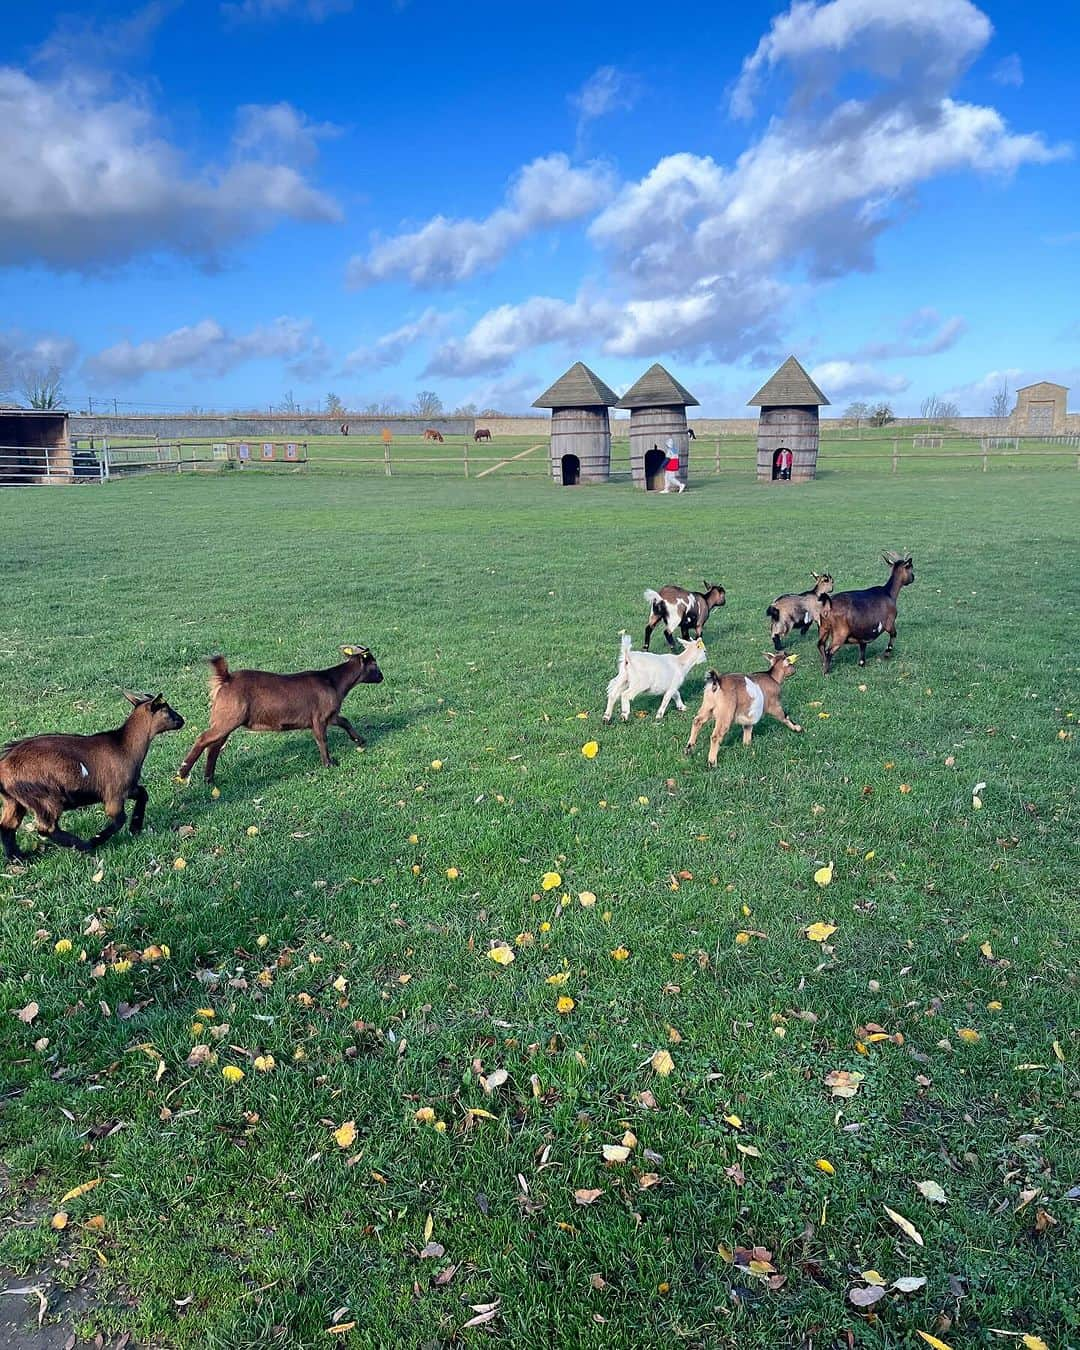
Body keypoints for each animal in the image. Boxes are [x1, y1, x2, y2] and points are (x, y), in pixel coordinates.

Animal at [0, 691, 184, 858]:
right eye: (166, 709)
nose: (182, 720)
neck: (124, 746)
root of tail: (3, 767)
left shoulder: (129, 788)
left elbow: (143, 794)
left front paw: (135, 828)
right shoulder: (114, 794)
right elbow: (119, 819)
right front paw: (96, 840)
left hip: (15, 800)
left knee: (7, 826)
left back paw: (19, 857)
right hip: (44, 799)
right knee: (46, 828)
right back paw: (84, 846)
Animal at [180, 648, 388, 788]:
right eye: (375, 664)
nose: (382, 677)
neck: (332, 681)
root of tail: (226, 679)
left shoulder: (330, 715)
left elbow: (345, 721)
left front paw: (360, 740)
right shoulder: (319, 718)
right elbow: (322, 739)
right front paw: (329, 764)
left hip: (223, 719)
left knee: (213, 747)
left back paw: (209, 779)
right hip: (228, 718)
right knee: (203, 738)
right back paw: (183, 771)